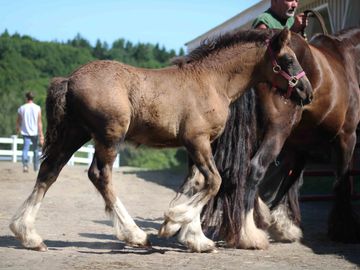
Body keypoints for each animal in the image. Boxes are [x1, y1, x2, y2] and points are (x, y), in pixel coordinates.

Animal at [8, 28, 312, 252]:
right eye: (288, 59)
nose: (307, 92)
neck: (212, 81)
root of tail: (69, 80)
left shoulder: (196, 146)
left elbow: (197, 183)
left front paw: (194, 237)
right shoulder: (197, 140)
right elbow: (213, 182)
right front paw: (174, 222)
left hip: (75, 133)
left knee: (49, 171)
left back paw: (28, 235)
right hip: (109, 136)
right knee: (100, 175)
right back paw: (136, 235)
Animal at [201, 27, 360, 249]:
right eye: (290, 61)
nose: (308, 92)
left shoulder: (301, 145)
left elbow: (290, 179)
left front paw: (281, 223)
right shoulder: (347, 137)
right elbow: (341, 182)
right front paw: (344, 229)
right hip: (277, 132)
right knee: (255, 168)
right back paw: (247, 233)